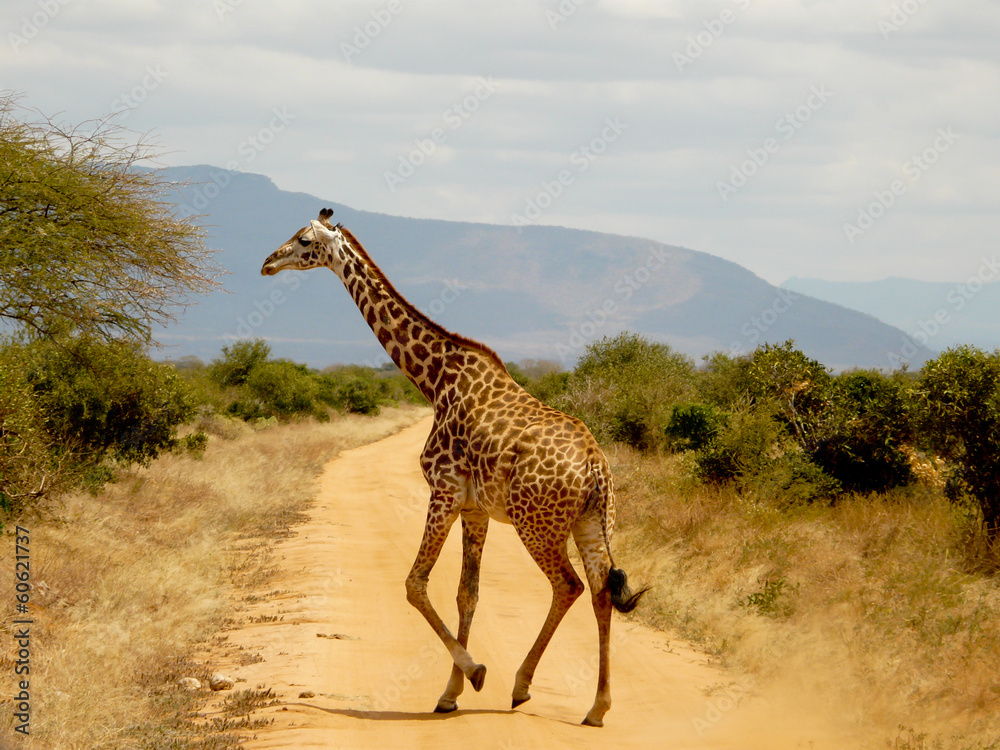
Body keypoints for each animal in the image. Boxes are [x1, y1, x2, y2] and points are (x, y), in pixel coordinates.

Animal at [261, 208, 646, 727]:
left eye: (303, 240)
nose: (267, 263)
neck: (435, 379)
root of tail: (595, 467)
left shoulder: (442, 490)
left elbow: (414, 583)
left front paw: (474, 673)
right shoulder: (474, 507)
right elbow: (468, 593)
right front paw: (451, 692)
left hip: (537, 524)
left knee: (568, 585)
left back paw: (522, 686)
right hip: (591, 520)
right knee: (603, 589)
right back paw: (597, 707)